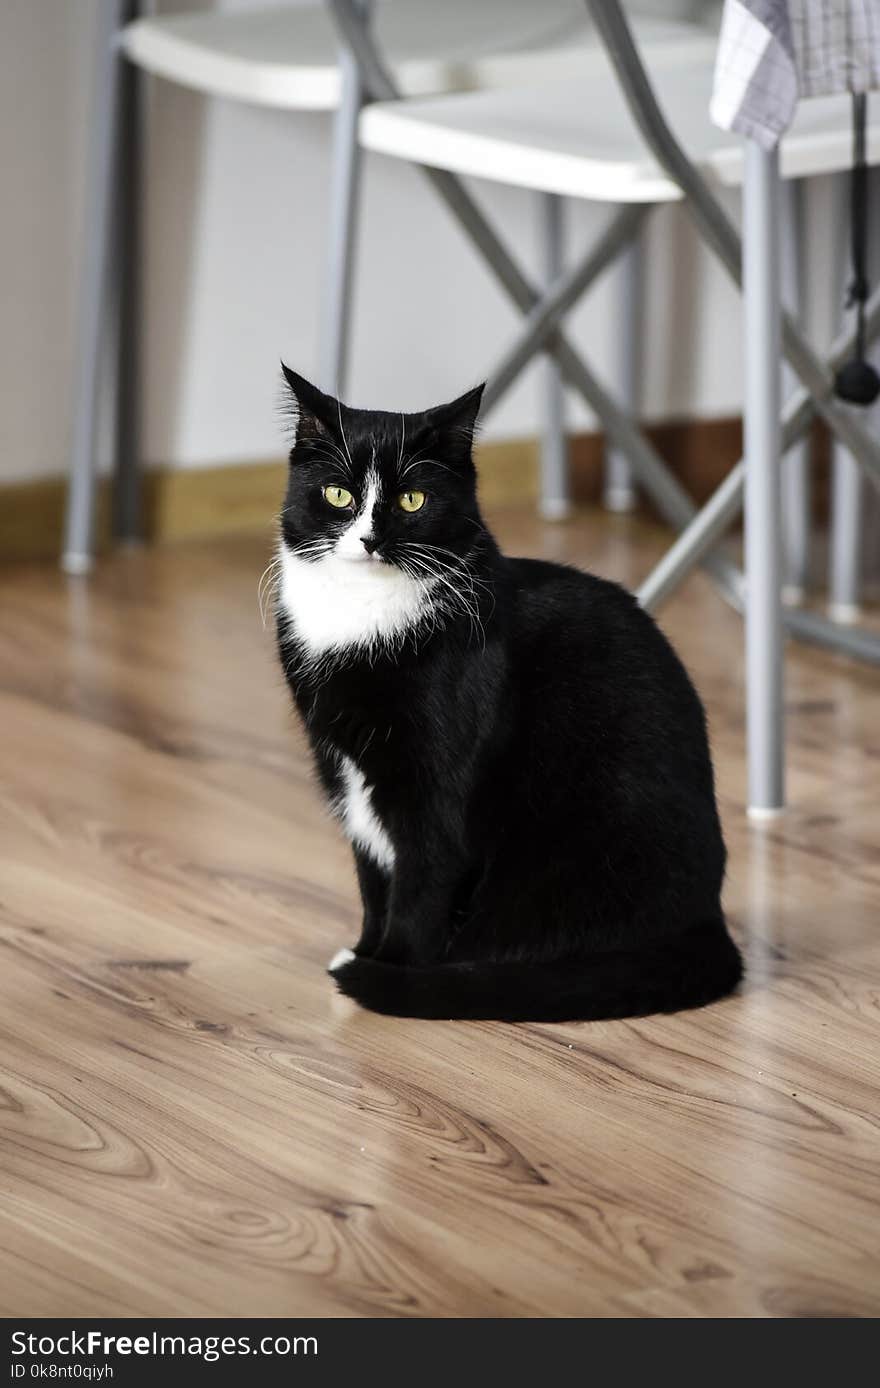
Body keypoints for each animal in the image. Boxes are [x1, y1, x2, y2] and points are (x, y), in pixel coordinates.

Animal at [274, 369, 738, 1021]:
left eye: (412, 500)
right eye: (338, 495)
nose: (367, 539)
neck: (363, 620)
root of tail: (708, 921)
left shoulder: (433, 782)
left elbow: (420, 879)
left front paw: (388, 969)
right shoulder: (343, 767)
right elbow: (372, 872)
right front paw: (367, 947)